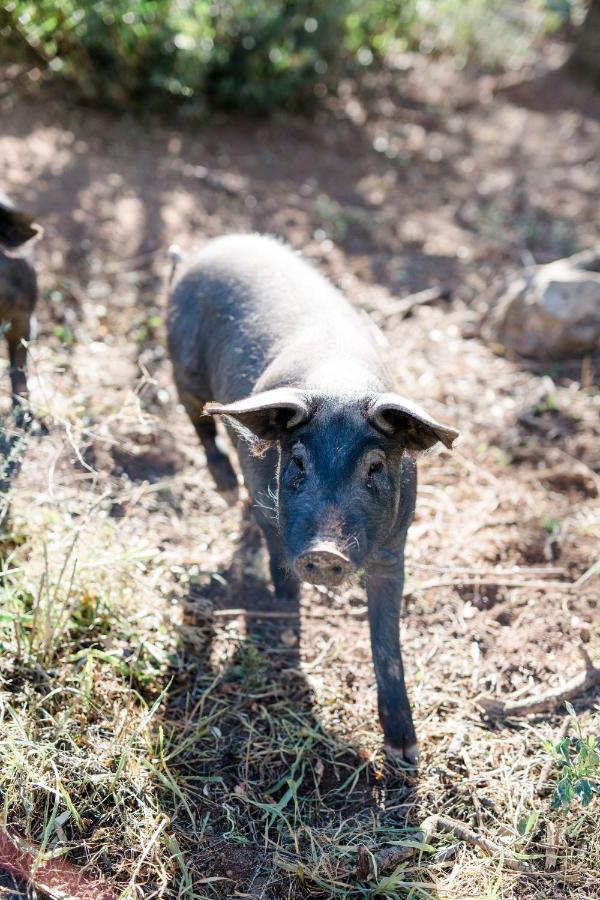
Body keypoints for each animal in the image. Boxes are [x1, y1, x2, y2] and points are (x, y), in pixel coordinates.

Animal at [166, 234, 458, 760]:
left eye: (375, 467)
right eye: (298, 461)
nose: (325, 551)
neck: (338, 383)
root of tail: (198, 254)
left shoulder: (394, 544)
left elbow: (387, 639)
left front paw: (404, 754)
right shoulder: (266, 495)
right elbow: (275, 547)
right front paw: (285, 609)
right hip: (183, 369)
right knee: (200, 425)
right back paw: (224, 490)